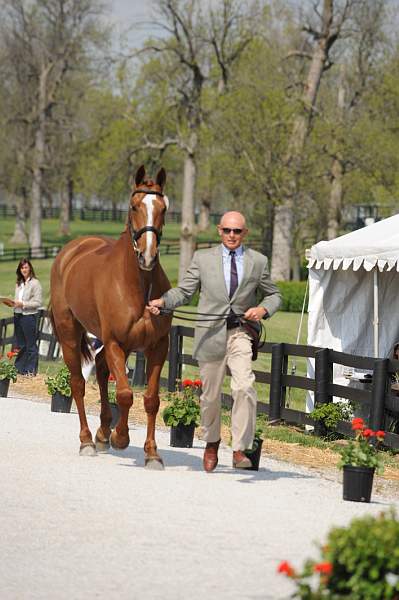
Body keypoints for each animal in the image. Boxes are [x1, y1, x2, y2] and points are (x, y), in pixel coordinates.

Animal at [49, 166, 172, 466]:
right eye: (134, 206)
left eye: (163, 208)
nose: (148, 256)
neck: (137, 284)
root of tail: (69, 252)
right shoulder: (116, 341)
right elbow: (126, 395)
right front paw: (121, 437)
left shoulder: (157, 346)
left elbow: (151, 399)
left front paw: (152, 453)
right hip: (70, 335)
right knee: (78, 384)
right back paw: (87, 440)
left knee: (103, 369)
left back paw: (102, 433)